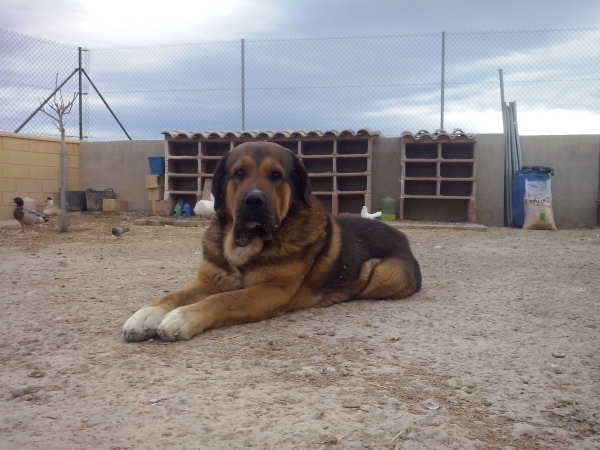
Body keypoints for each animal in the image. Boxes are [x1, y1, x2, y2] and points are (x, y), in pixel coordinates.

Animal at [122, 142, 422, 342]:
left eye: (276, 175)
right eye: (239, 173)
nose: (254, 201)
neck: (246, 242)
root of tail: (403, 236)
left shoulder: (270, 290)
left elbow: (224, 299)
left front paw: (183, 316)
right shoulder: (210, 279)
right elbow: (175, 295)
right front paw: (146, 314)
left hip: (385, 274)